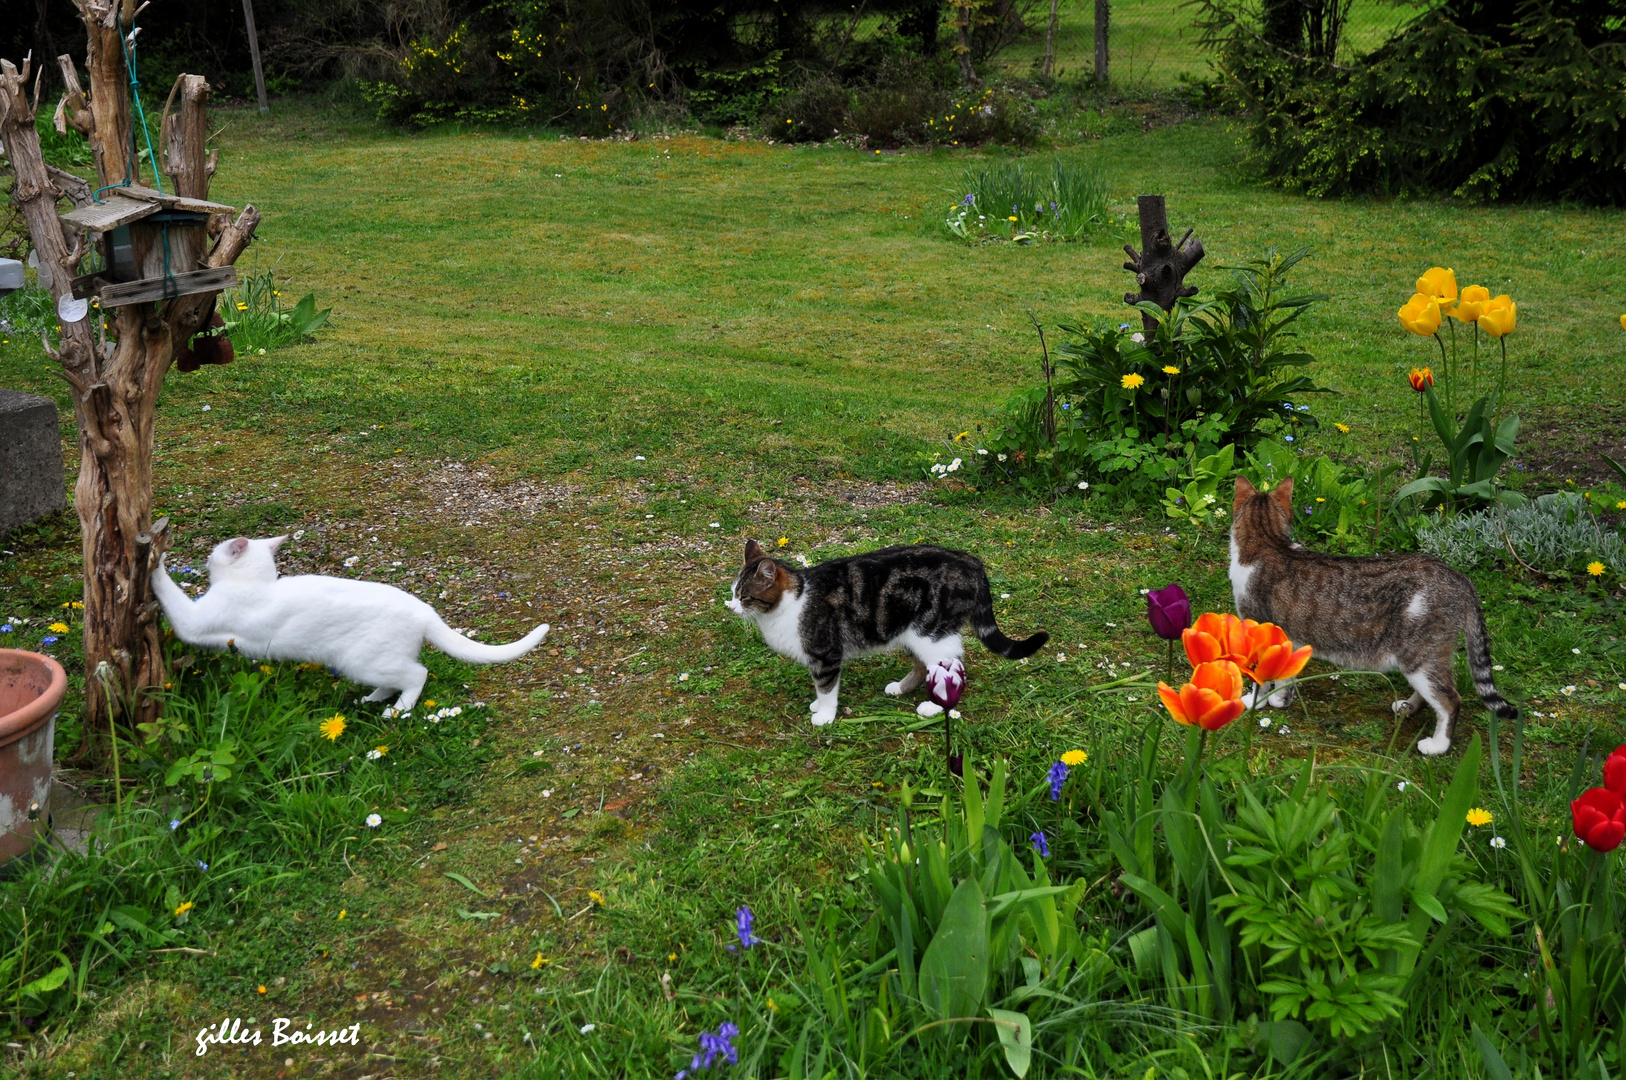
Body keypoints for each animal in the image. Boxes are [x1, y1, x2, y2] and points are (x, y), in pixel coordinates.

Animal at [153, 536, 546, 709]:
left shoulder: (193, 624)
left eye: (215, 552)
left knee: (417, 675)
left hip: (361, 660)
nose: (207, 558)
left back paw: (397, 711)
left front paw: (153, 559)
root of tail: (425, 610)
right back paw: (370, 700)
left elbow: (167, 591)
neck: (257, 582)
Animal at [721, 540, 1047, 725]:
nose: (731, 607)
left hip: (930, 633)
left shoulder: (825, 654)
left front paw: (824, 715)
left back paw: (934, 706)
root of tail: (971, 561)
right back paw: (901, 688)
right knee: (923, 665)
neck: (793, 602)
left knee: (952, 667)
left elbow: (826, 687)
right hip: (906, 631)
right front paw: (817, 705)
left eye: (745, 596)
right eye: (733, 592)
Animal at [1229, 478, 1508, 754]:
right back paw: (1408, 707)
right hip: (1426, 658)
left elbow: (1260, 678)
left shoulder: (1259, 626)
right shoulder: (1288, 637)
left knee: (1450, 700)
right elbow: (1285, 676)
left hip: (1418, 654)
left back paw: (1437, 745)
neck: (1267, 541)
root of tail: (1457, 576)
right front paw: (1279, 699)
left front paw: (1255, 701)